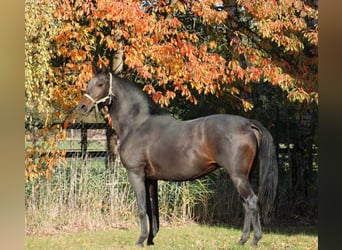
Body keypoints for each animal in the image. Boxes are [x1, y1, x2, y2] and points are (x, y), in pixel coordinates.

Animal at [77, 67, 278, 248]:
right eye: (88, 84)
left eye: (100, 84)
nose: (82, 107)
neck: (137, 125)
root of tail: (248, 123)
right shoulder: (151, 179)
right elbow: (152, 209)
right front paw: (150, 240)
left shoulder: (136, 174)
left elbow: (142, 208)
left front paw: (140, 240)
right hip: (244, 176)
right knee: (246, 205)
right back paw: (242, 240)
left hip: (238, 176)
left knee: (252, 202)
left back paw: (254, 240)